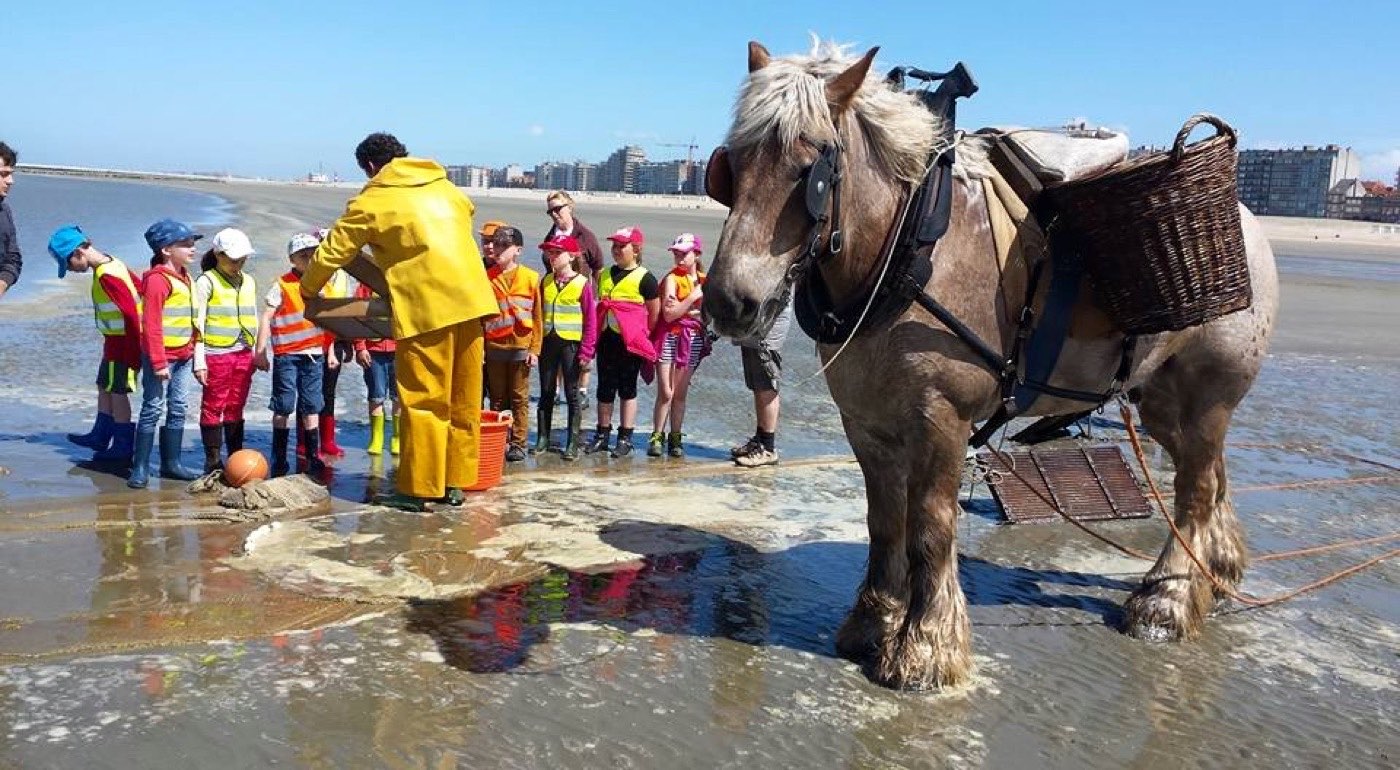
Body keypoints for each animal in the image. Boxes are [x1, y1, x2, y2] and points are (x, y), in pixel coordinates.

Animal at [703, 40, 1279, 690]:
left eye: (811, 172)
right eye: (732, 165)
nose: (729, 301)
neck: (906, 247)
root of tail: (1245, 220)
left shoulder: (941, 420)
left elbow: (930, 529)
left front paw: (926, 646)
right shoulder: (867, 423)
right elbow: (884, 522)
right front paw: (873, 623)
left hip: (1206, 396)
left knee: (1196, 488)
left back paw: (1170, 599)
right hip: (1161, 402)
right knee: (1208, 478)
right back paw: (1217, 572)